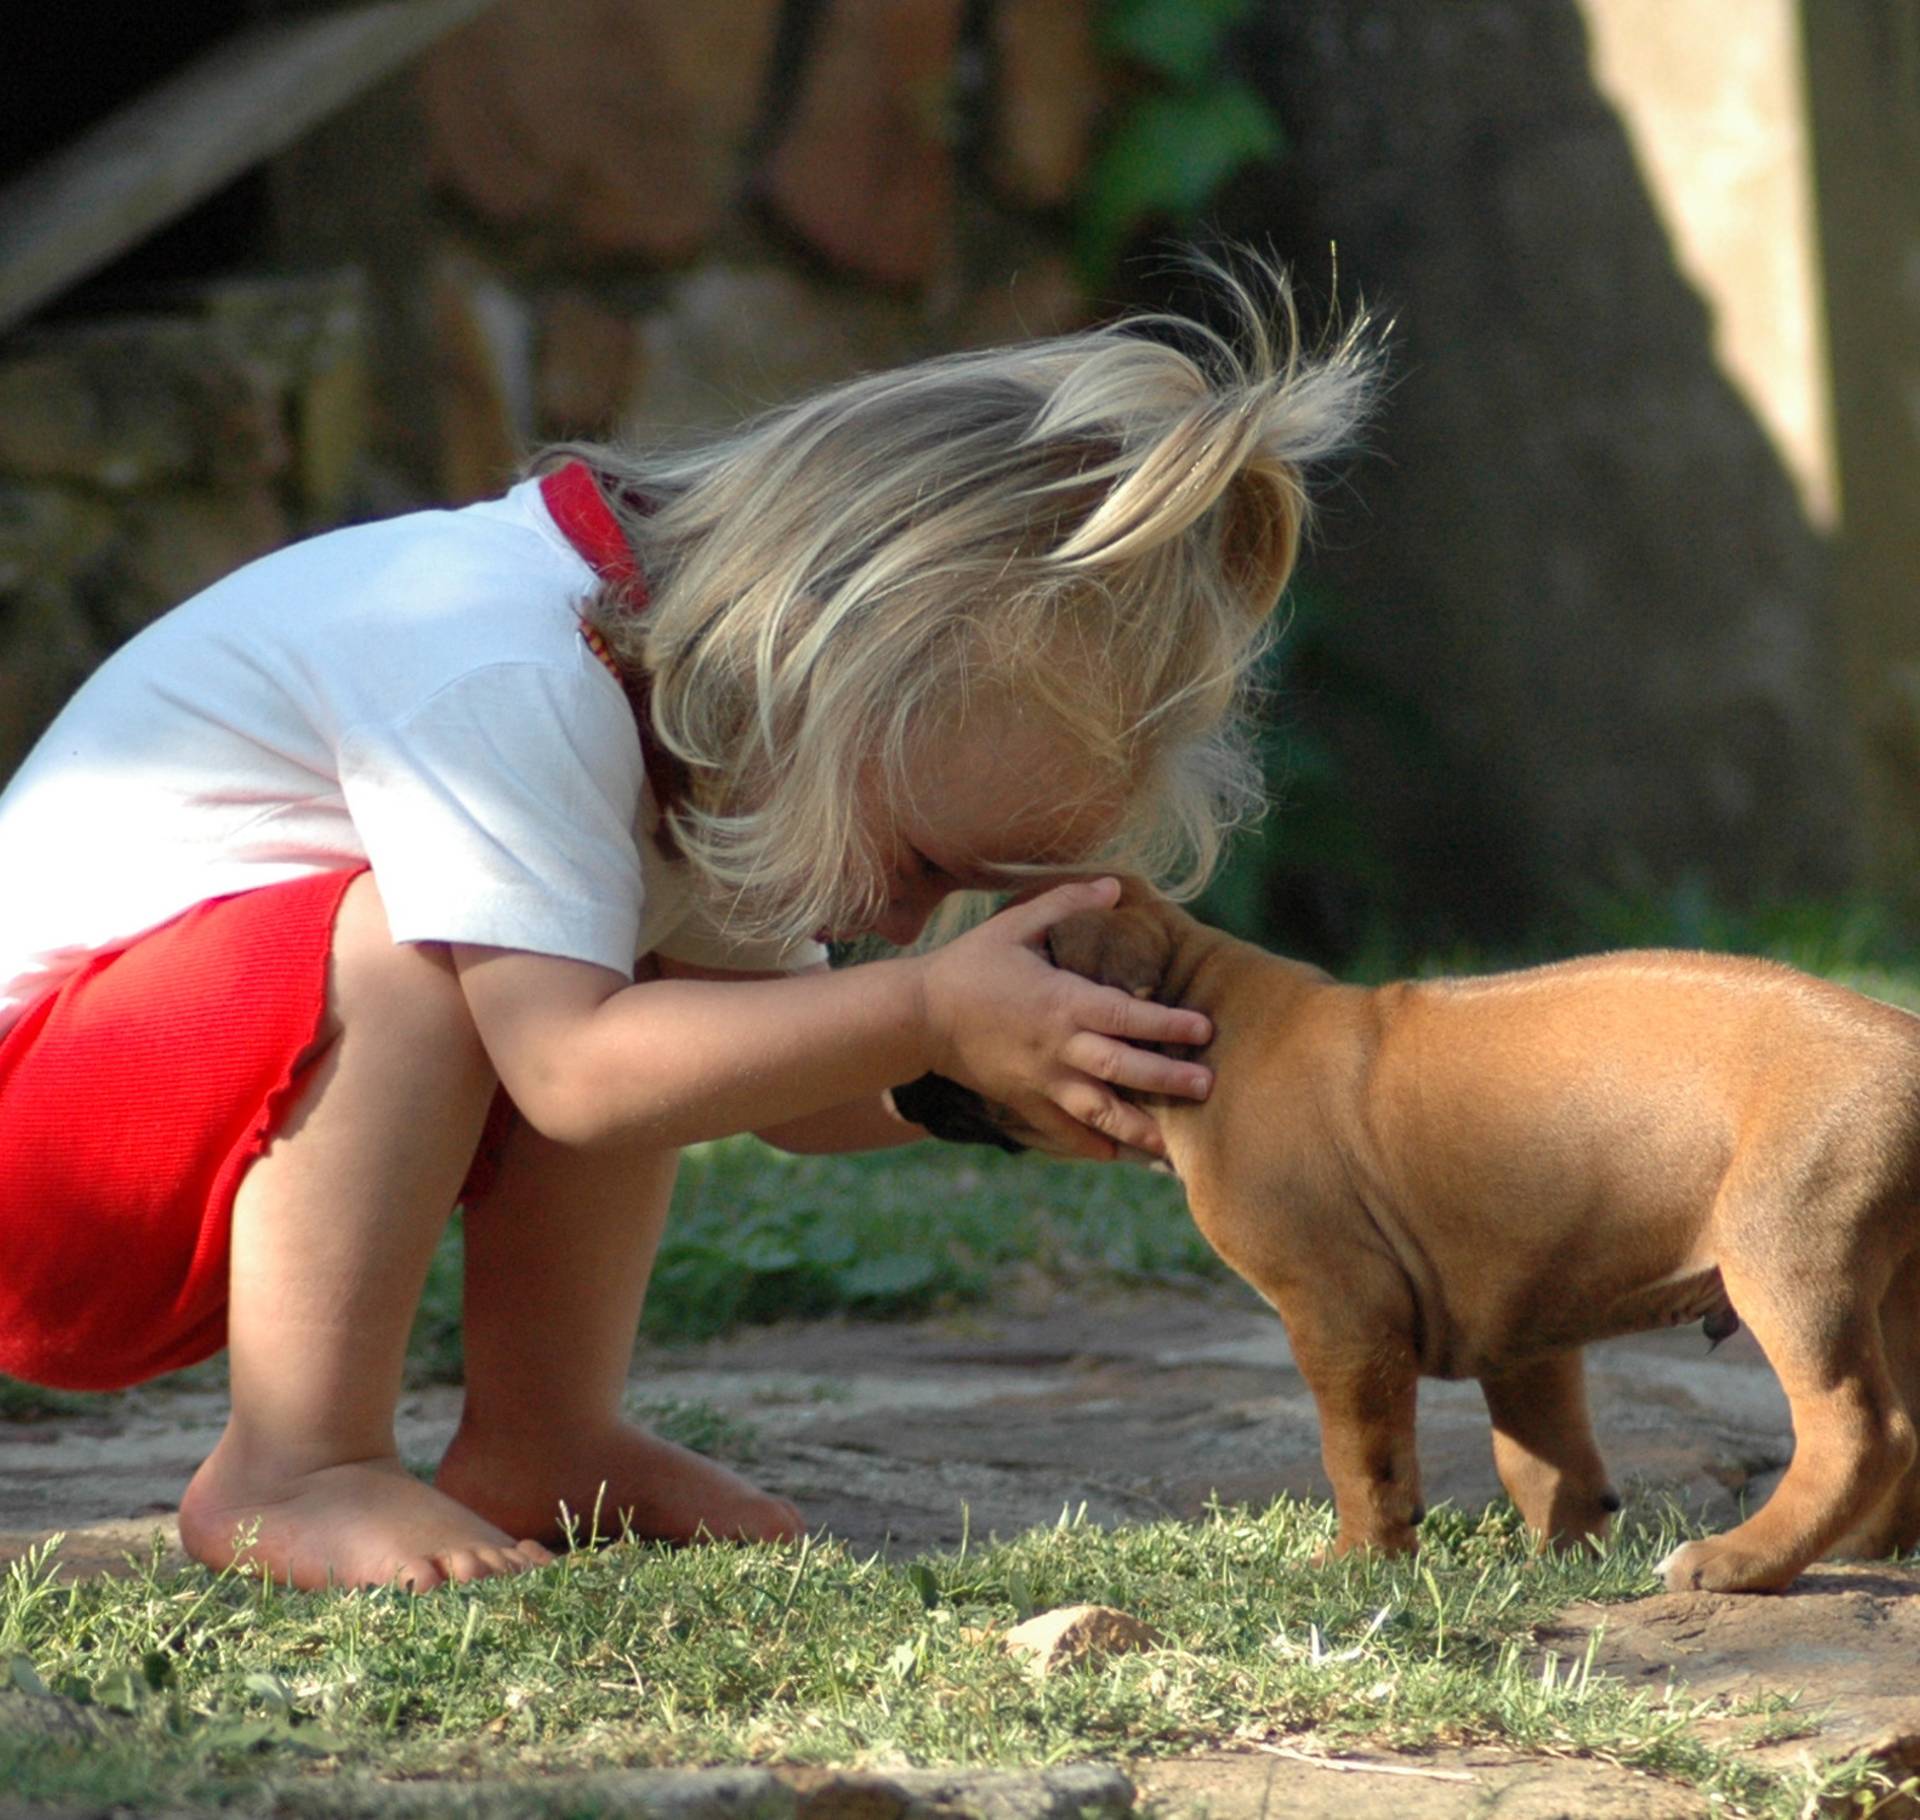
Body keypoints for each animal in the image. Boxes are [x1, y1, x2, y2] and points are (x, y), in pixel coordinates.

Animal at [894, 886, 1920, 1589]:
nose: (892, 1084)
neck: (1204, 1013)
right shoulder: (1527, 1316)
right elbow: (1544, 1456)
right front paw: (1559, 1557)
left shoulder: (1339, 1312)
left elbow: (1362, 1453)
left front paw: (1360, 1560)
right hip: (1892, 1290)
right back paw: (1872, 1550)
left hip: (1788, 1259)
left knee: (1859, 1429)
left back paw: (1743, 1560)